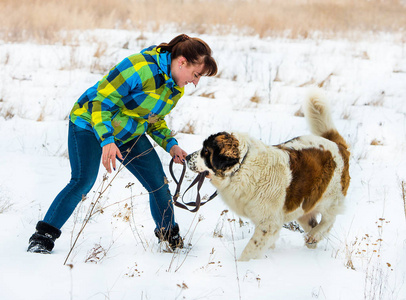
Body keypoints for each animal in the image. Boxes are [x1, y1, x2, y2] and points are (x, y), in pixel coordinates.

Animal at [186, 88, 350, 260]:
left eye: (206, 151)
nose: (186, 157)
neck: (242, 166)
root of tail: (338, 145)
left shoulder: (268, 223)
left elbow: (251, 248)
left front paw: (243, 262)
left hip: (330, 198)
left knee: (329, 220)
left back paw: (315, 235)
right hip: (304, 205)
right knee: (312, 222)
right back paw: (311, 243)